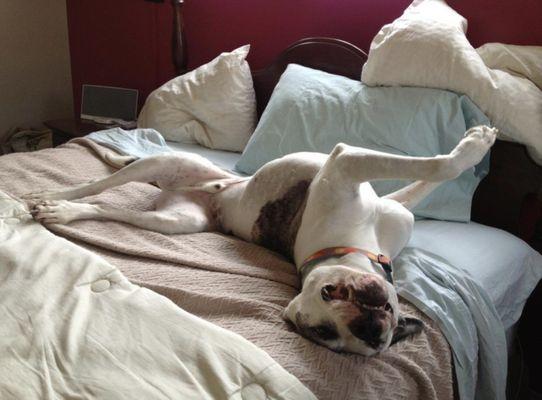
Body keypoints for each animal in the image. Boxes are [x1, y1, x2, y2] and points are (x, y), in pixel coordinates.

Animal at [24, 126, 498, 356]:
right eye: (327, 296)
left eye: (374, 345)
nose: (367, 328)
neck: (357, 247)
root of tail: (211, 191)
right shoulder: (345, 163)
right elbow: (435, 168)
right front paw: (473, 147)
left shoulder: (392, 210)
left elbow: (413, 190)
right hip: (167, 164)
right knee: (97, 185)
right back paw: (58, 202)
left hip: (176, 222)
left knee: (115, 208)